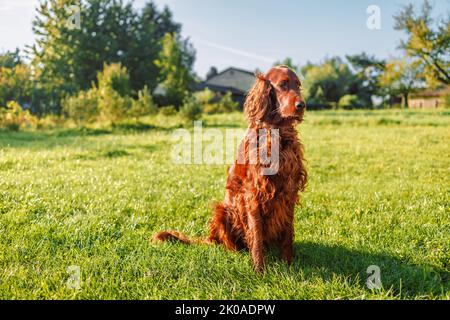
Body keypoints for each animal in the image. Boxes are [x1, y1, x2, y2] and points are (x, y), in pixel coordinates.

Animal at [153, 66, 308, 272]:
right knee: (231, 245)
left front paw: (288, 263)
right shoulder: (254, 194)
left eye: (298, 86)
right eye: (283, 84)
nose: (302, 105)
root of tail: (211, 238)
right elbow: (256, 235)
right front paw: (260, 270)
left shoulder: (289, 190)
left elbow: (287, 232)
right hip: (222, 211)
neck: (277, 134)